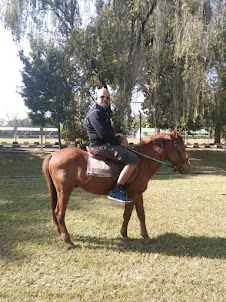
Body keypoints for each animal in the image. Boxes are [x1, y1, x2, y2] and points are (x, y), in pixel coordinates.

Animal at [42, 131, 189, 249]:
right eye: (181, 148)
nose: (188, 167)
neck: (142, 162)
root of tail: (53, 155)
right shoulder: (132, 195)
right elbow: (127, 215)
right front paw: (124, 235)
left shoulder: (138, 194)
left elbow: (141, 215)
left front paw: (146, 237)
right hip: (65, 190)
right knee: (59, 212)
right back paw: (68, 241)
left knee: (55, 211)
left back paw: (61, 235)